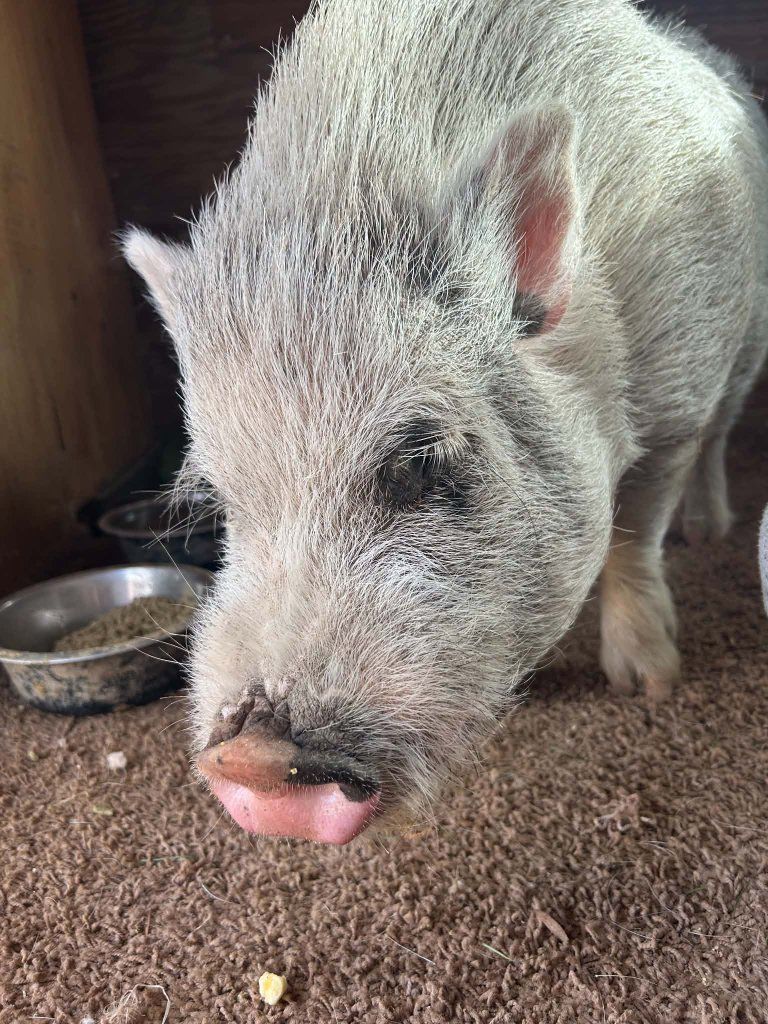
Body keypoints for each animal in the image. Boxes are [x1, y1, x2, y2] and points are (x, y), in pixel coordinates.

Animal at [123, 0, 768, 844]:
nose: (249, 760)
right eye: (222, 504)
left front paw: (650, 687)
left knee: (724, 435)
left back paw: (709, 531)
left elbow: (634, 534)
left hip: (748, 340)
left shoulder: (678, 394)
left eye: (421, 461)